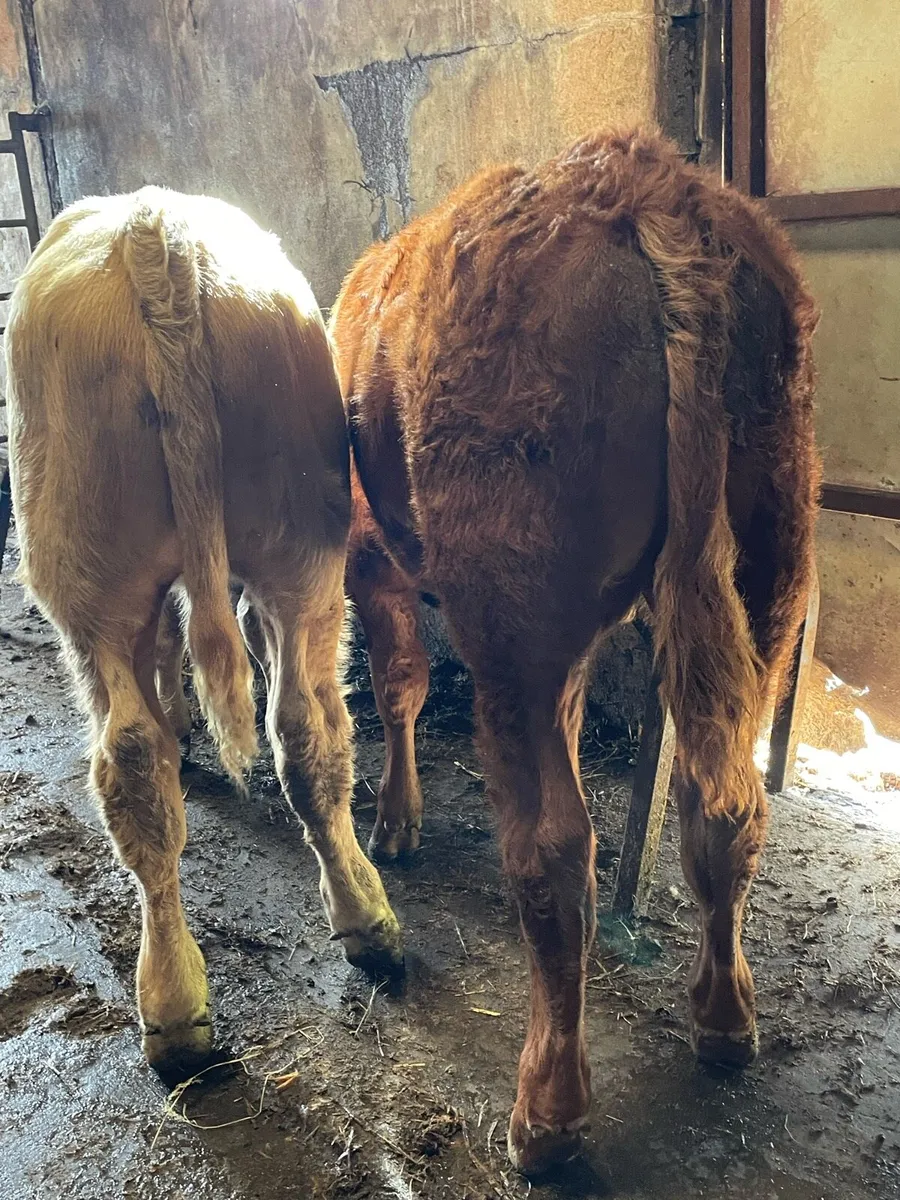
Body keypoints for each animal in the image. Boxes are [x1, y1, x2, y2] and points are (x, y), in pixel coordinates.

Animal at [5, 186, 403, 1083]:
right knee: (302, 734)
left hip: (92, 580)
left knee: (140, 756)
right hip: (301, 554)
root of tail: (154, 232)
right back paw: (359, 920)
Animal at [332, 130, 820, 1173]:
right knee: (725, 806)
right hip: (771, 566)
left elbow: (398, 683)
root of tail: (649, 187)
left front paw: (395, 820)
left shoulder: (369, 559)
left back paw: (547, 1111)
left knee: (553, 846)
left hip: (511, 620)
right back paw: (725, 1020)